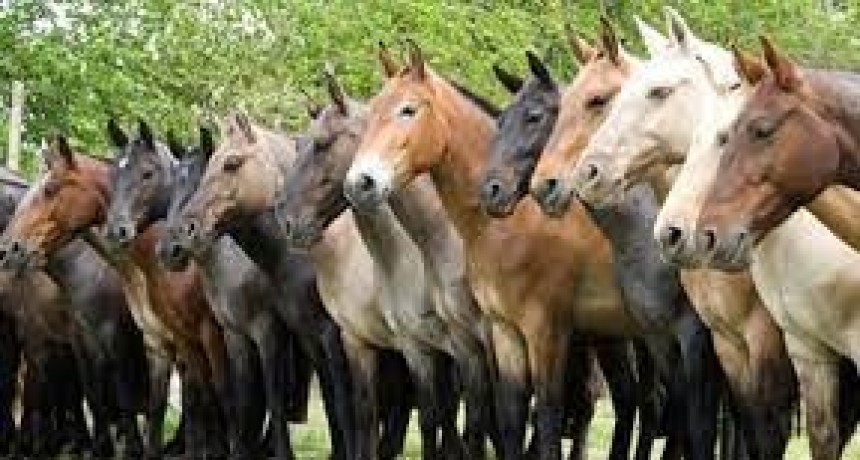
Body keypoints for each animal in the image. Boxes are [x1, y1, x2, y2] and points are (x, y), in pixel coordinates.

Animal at [0, 134, 230, 459]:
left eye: (50, 189)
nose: (10, 248)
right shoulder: (79, 341)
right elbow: (90, 395)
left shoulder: (113, 338)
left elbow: (122, 396)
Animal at [162, 113, 356, 460]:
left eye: (232, 162)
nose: (181, 237)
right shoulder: (257, 335)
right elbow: (244, 398)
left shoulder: (285, 332)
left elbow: (293, 396)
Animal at [481, 22, 725, 459]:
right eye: (502, 119)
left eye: (535, 116)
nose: (494, 190)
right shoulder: (658, 337)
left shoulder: (696, 339)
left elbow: (694, 425)